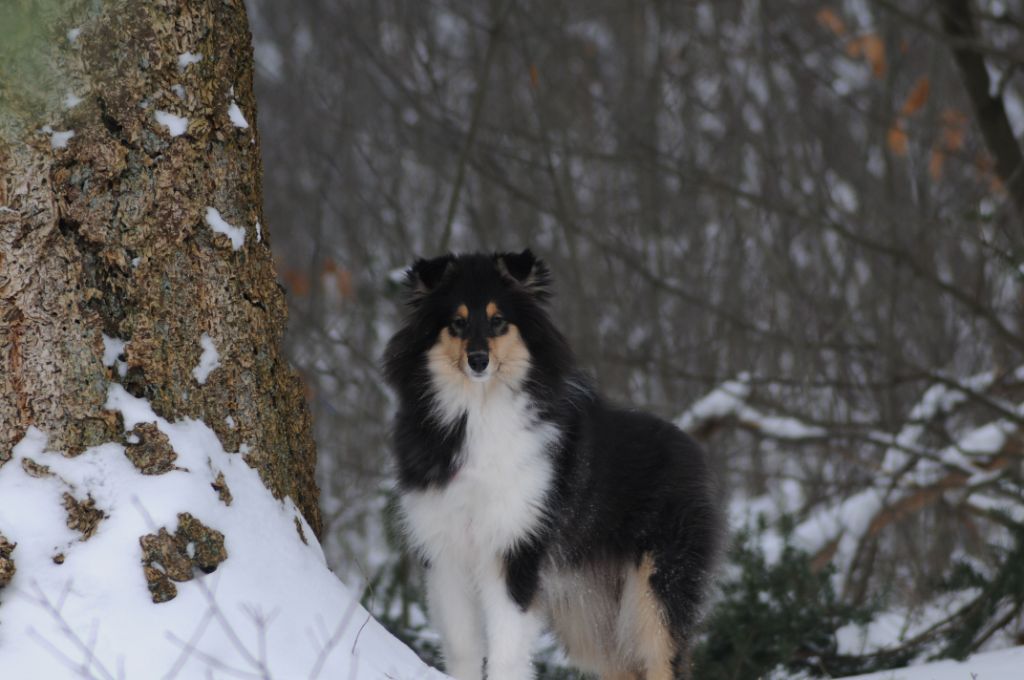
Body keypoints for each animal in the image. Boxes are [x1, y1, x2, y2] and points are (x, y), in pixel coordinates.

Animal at [385, 250, 729, 680]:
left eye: (499, 321)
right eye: (457, 322)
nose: (478, 361)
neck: (478, 411)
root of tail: (692, 449)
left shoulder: (515, 552)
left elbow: (505, 652)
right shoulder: (445, 553)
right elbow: (463, 648)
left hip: (657, 591)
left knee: (663, 660)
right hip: (587, 613)